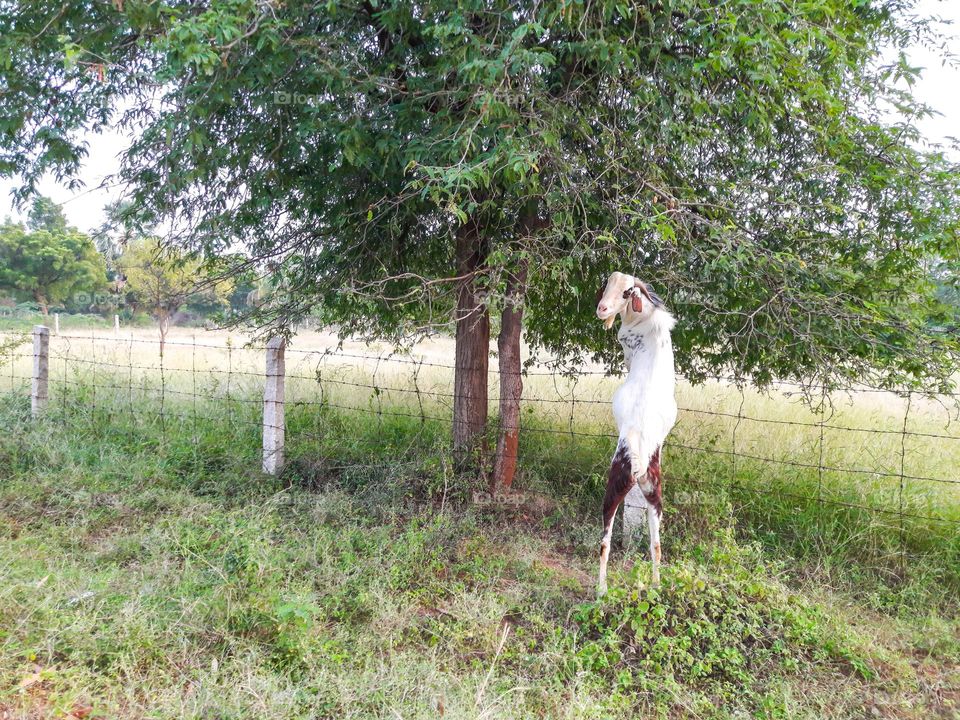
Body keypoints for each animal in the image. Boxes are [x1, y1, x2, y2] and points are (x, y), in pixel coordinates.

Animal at [592, 272, 676, 592]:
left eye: (627, 292)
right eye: (607, 284)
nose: (602, 309)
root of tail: (639, 459)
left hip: (613, 487)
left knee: (604, 542)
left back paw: (602, 590)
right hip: (654, 493)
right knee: (656, 544)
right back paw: (655, 584)